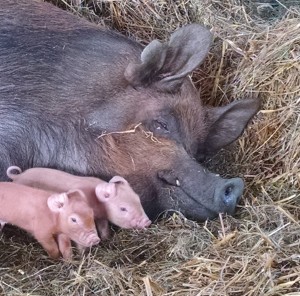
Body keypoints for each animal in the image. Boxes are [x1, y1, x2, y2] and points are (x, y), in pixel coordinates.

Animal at [6, 166, 152, 238]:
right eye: (123, 208)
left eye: (138, 199)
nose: (147, 221)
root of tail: (18, 176)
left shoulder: (102, 217)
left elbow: (104, 228)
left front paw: (106, 239)